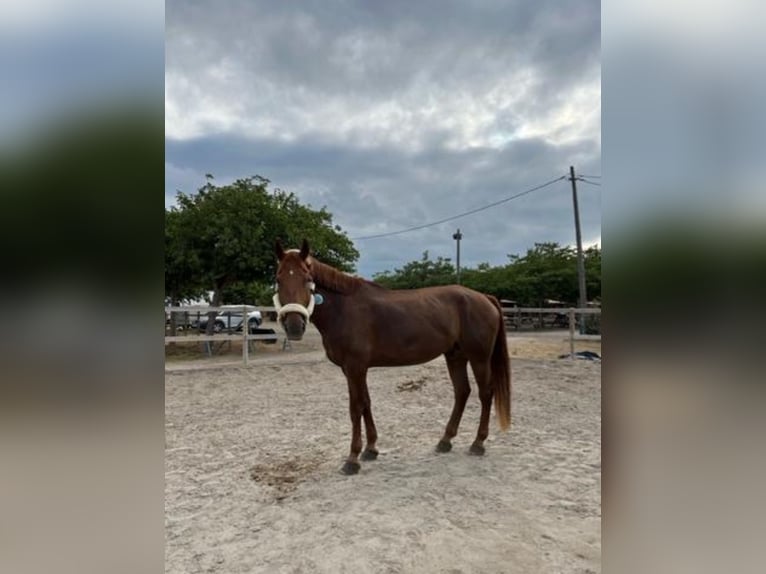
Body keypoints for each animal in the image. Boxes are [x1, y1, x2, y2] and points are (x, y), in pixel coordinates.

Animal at [273, 239, 511, 475]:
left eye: (308, 279)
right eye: (278, 279)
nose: (294, 326)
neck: (344, 309)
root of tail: (484, 297)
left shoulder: (355, 367)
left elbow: (355, 407)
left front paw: (352, 459)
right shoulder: (353, 370)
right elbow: (366, 402)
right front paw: (370, 449)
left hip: (479, 359)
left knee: (485, 393)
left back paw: (478, 443)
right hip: (455, 356)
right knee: (462, 392)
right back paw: (445, 441)